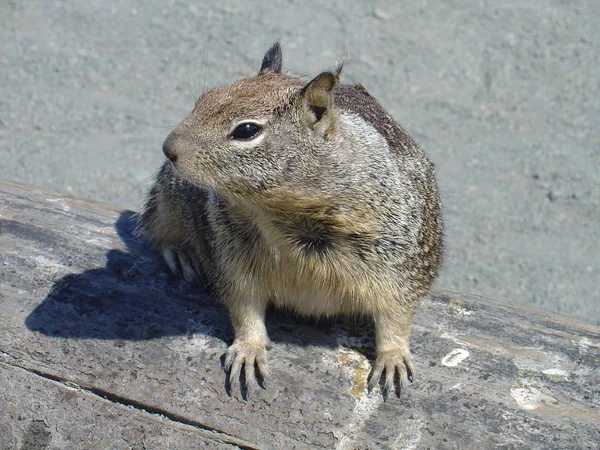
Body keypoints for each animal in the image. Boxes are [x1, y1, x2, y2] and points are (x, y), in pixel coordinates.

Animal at [138, 44, 442, 400]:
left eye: (246, 130)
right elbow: (244, 307)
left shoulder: (400, 267)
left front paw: (393, 357)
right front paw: (248, 350)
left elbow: (396, 317)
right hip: (167, 197)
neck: (284, 213)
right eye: (204, 99)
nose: (167, 148)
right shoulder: (232, 259)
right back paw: (180, 253)